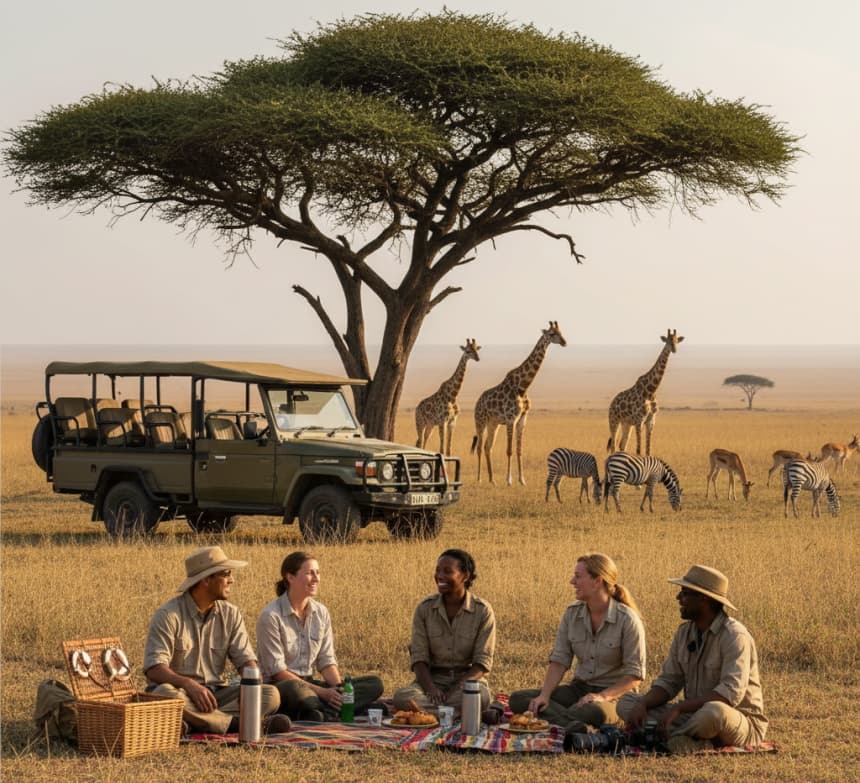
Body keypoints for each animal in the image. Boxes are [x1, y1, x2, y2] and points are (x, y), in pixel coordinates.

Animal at [470, 321, 567, 485]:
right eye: (552, 334)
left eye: (561, 332)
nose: (564, 342)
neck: (523, 386)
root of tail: (477, 402)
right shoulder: (511, 419)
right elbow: (509, 450)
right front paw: (509, 480)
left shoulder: (522, 419)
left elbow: (519, 450)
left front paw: (522, 480)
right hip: (480, 421)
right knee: (479, 447)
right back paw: (479, 479)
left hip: (493, 423)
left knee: (487, 447)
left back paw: (492, 480)